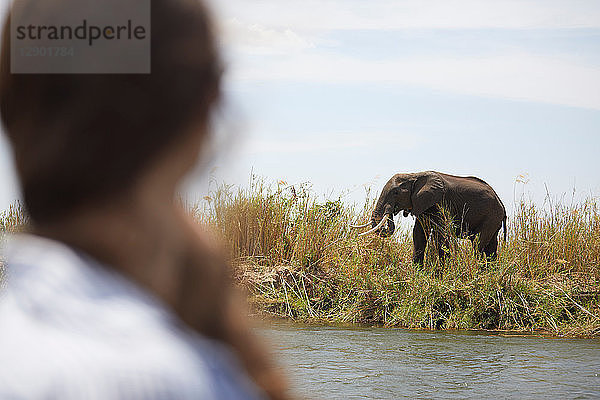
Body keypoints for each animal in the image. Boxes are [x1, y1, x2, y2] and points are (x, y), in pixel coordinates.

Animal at [358, 170, 504, 264]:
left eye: (396, 192)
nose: (392, 211)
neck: (414, 175)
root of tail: (500, 201)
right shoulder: (422, 205)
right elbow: (418, 234)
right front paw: (417, 274)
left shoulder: (439, 203)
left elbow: (441, 235)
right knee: (491, 247)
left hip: (491, 216)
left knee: (478, 244)